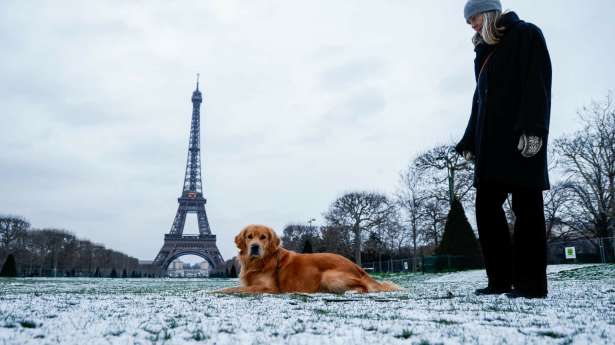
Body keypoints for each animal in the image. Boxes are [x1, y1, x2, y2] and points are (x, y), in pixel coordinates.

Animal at [219, 224, 402, 294]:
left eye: (263, 237)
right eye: (249, 237)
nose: (255, 247)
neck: (260, 262)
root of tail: (357, 267)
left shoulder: (269, 288)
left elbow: (232, 289)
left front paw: (214, 291)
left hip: (329, 275)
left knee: (364, 288)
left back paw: (352, 291)